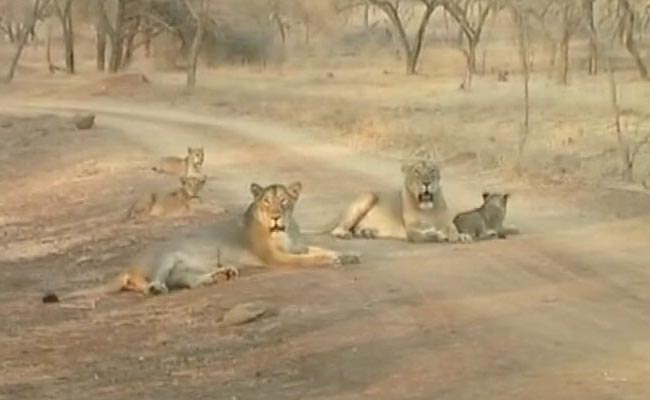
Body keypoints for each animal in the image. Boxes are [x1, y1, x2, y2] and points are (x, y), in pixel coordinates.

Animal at [43, 181, 360, 307]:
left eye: (284, 201)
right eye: (266, 202)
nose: (275, 217)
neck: (287, 229)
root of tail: (128, 265)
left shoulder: (298, 246)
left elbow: (322, 249)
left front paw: (347, 255)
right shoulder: (277, 259)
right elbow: (312, 258)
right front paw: (333, 260)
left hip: (185, 270)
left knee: (189, 282)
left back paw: (221, 275)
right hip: (163, 258)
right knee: (146, 284)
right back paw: (157, 288)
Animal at [328, 148, 471, 243]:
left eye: (432, 171)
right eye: (417, 172)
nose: (426, 183)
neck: (428, 210)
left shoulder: (447, 223)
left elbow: (454, 230)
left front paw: (462, 236)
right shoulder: (412, 230)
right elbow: (427, 235)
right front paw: (439, 235)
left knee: (355, 229)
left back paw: (367, 233)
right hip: (368, 196)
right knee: (337, 229)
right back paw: (344, 234)